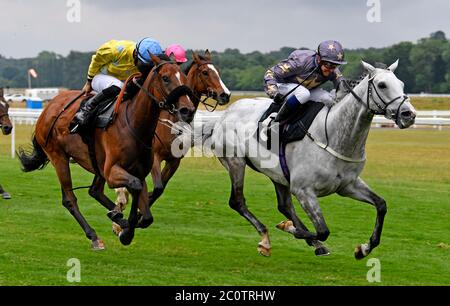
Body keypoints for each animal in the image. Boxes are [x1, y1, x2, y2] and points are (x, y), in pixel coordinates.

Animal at [17, 53, 195, 249]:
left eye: (184, 77)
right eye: (165, 78)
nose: (188, 110)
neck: (134, 123)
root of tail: (47, 109)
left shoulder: (139, 172)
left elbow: (146, 212)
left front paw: (126, 225)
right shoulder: (112, 171)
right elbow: (135, 186)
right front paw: (126, 228)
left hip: (96, 163)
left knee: (94, 191)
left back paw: (117, 218)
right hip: (59, 157)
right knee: (70, 199)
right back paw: (95, 236)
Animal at [112, 50, 232, 232]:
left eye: (217, 70)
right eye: (205, 72)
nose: (225, 95)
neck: (172, 121)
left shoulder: (174, 161)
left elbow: (159, 189)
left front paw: (139, 214)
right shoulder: (154, 157)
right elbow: (157, 187)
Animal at [202, 61, 416, 260]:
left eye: (401, 84)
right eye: (382, 85)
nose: (409, 115)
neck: (333, 136)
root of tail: (224, 115)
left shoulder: (348, 186)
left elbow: (381, 205)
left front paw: (363, 249)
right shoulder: (304, 191)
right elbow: (323, 230)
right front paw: (290, 229)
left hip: (277, 173)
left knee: (284, 206)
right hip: (235, 162)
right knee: (237, 201)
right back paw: (266, 239)